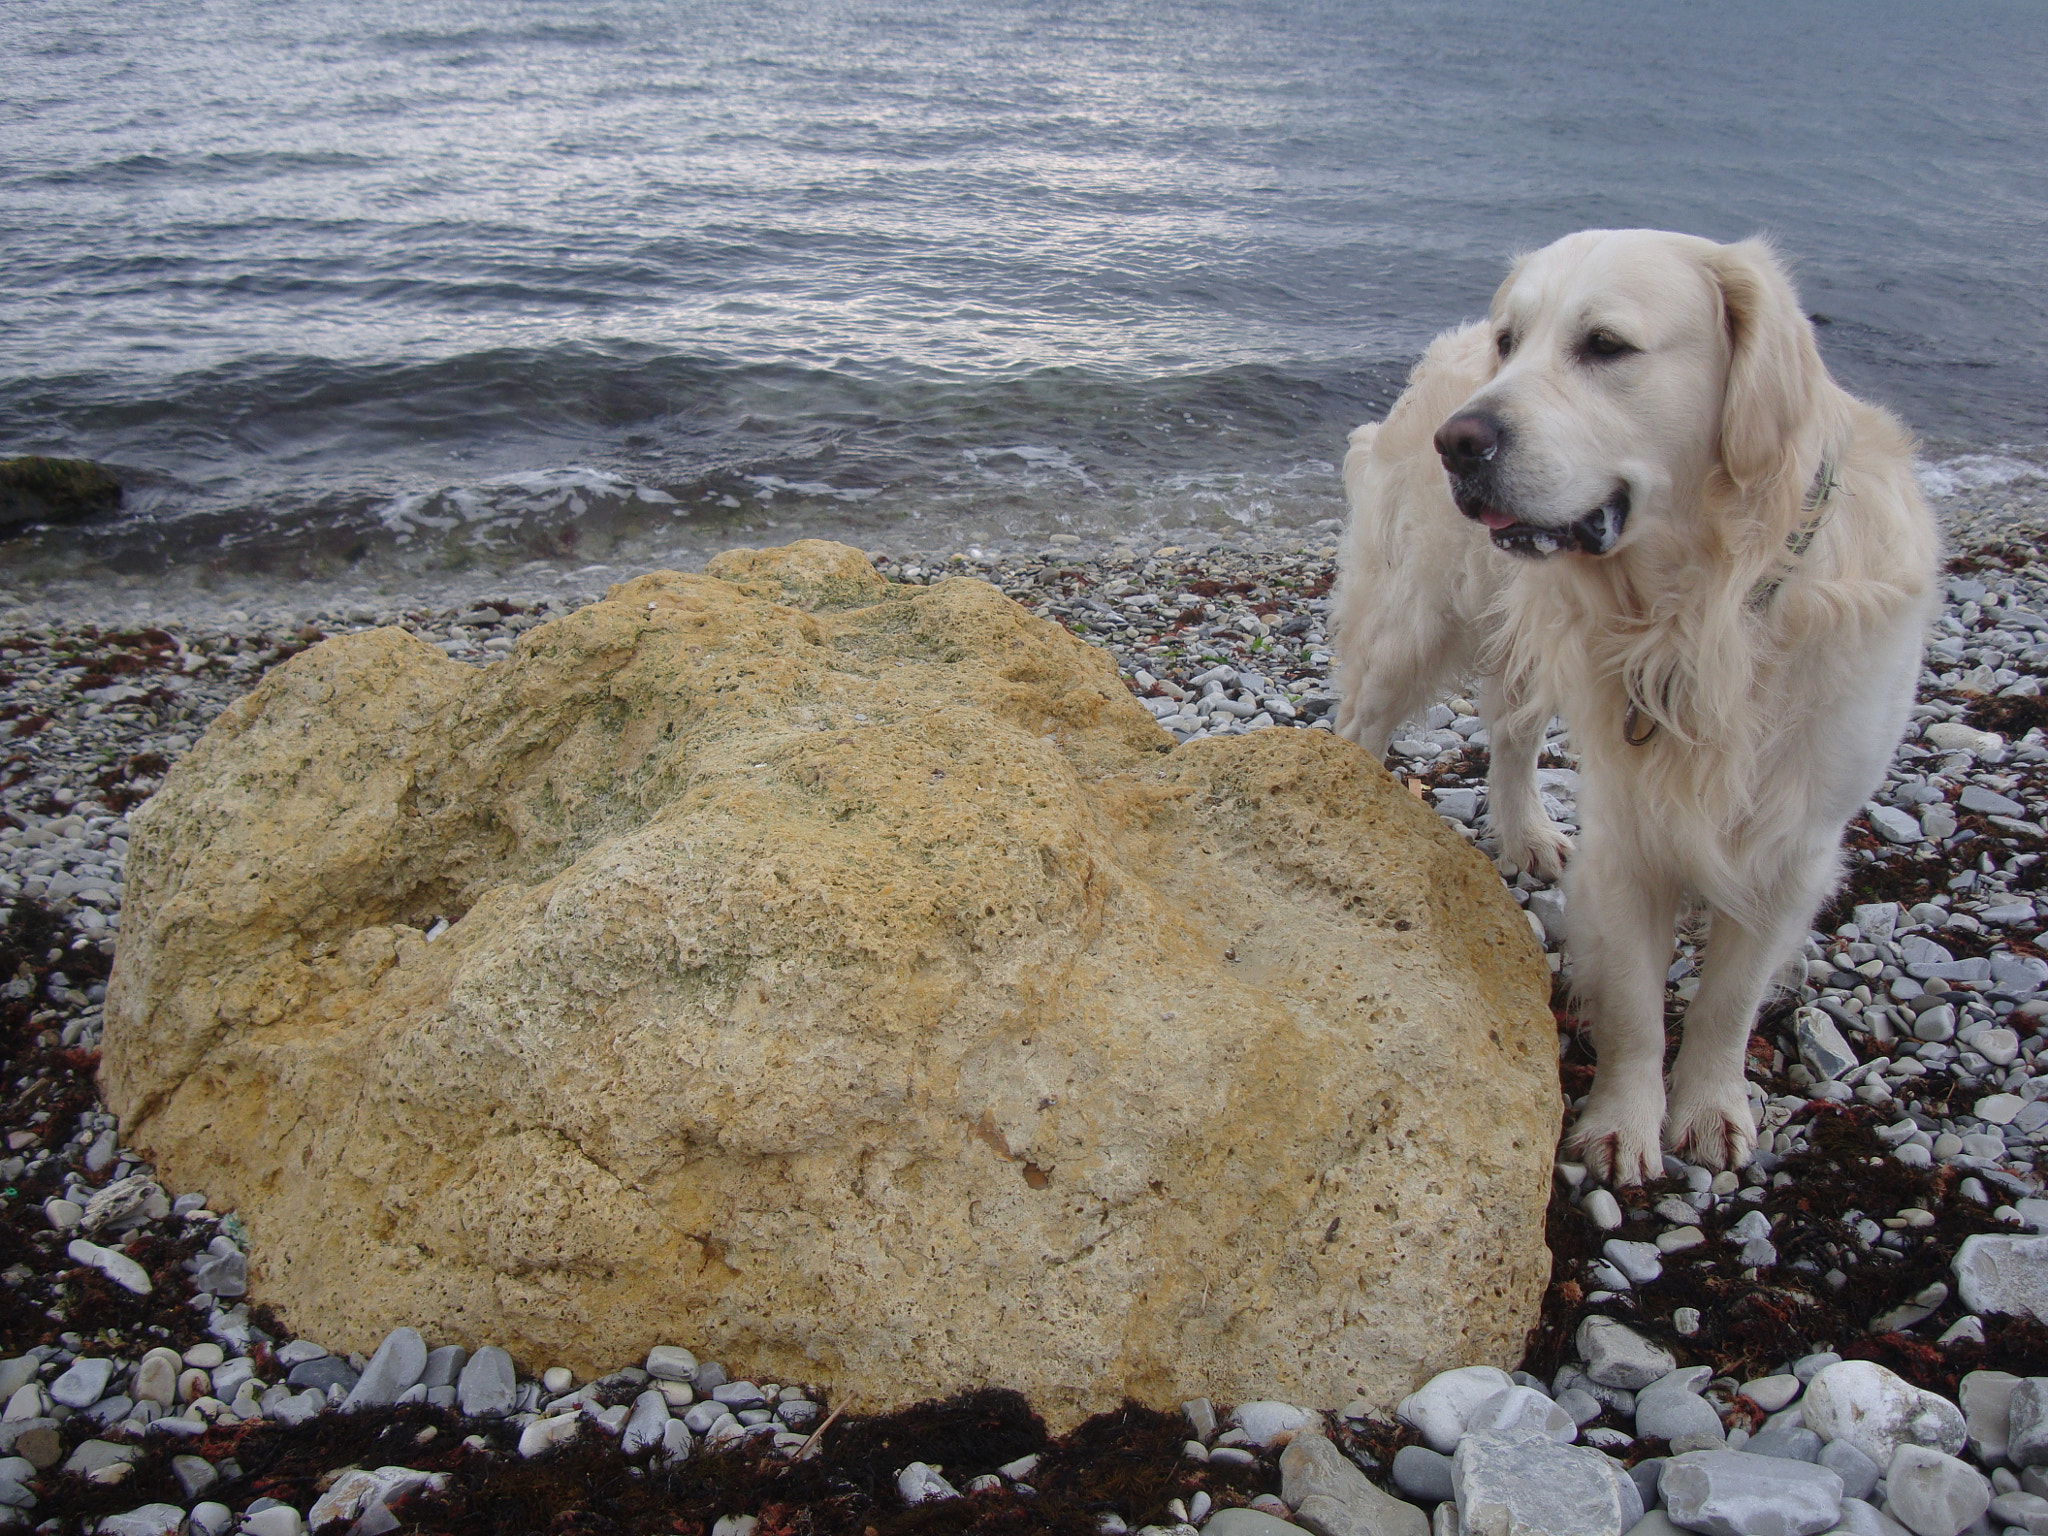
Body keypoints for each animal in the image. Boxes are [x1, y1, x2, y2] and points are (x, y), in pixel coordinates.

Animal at [1335, 228, 1941, 1187]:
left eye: (1606, 346)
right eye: (1513, 342)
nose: (1457, 440)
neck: (1699, 610)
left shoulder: (1796, 840)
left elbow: (1730, 999)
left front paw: (1710, 1107)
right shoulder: (1628, 833)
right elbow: (1633, 1011)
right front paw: (1626, 1121)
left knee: (1512, 735)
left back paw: (1527, 834)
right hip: (1413, 614)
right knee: (1358, 722)